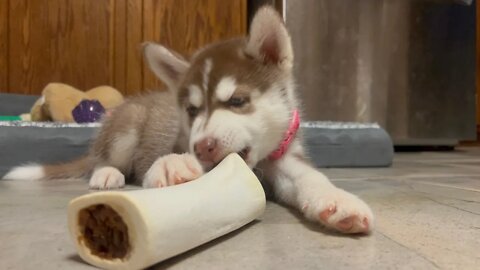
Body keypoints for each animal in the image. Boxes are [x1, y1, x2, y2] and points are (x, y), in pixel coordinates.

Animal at [4, 6, 376, 234]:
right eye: (192, 111)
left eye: (238, 101)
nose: (203, 147)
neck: (257, 164)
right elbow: (171, 163)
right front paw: (174, 164)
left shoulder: (284, 159)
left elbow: (309, 178)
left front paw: (337, 201)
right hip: (126, 127)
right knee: (103, 160)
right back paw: (107, 174)